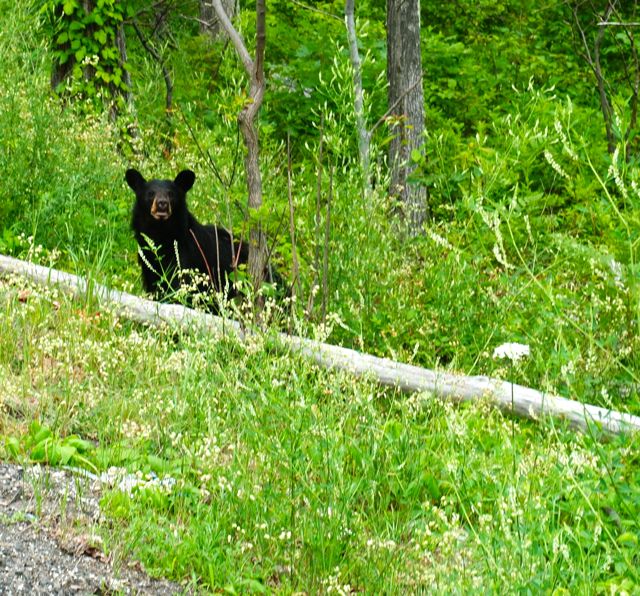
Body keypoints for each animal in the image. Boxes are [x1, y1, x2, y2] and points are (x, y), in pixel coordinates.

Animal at [125, 168, 249, 311]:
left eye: (171, 194)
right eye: (150, 193)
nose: (162, 204)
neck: (161, 233)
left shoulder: (186, 254)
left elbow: (181, 284)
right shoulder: (148, 260)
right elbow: (154, 285)